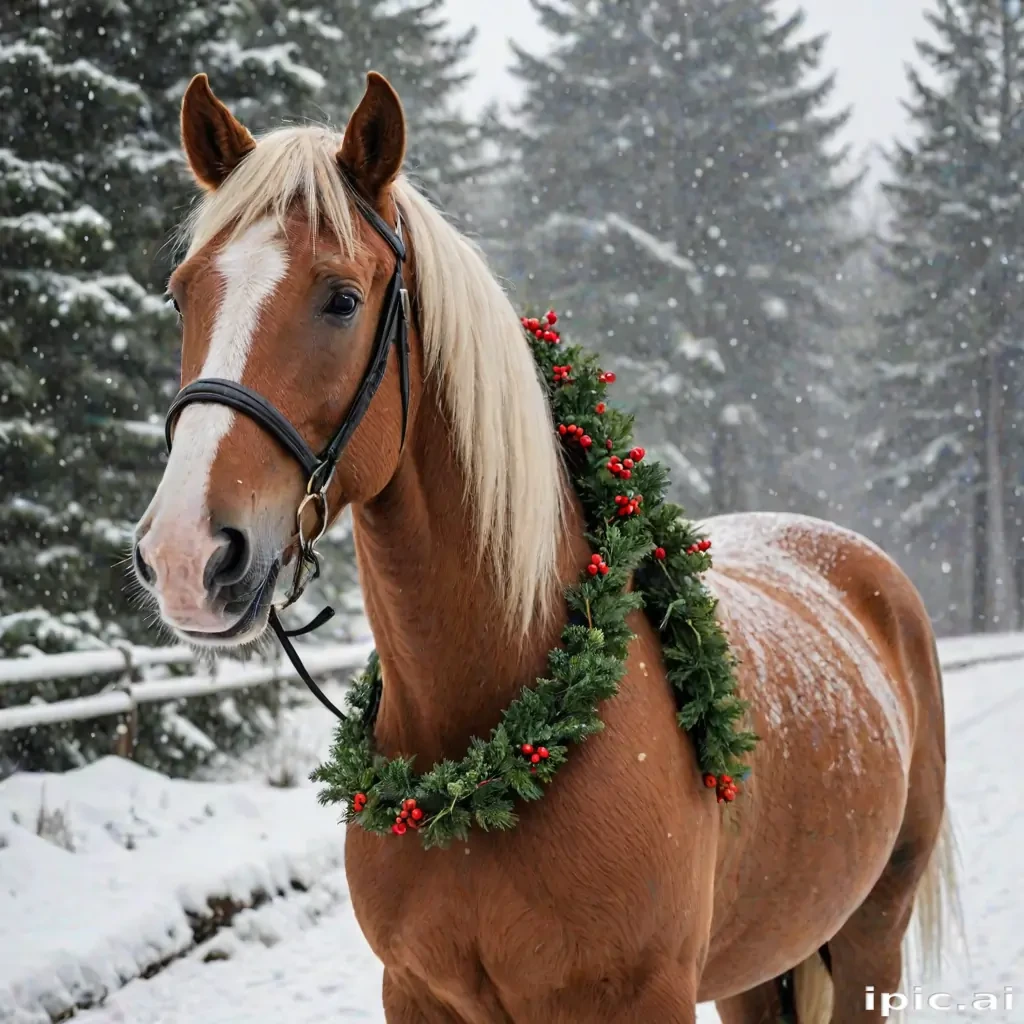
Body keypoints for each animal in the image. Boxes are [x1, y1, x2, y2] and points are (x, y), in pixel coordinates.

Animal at [133, 71, 957, 1023]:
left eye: (340, 298)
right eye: (182, 295)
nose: (186, 554)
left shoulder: (643, 996)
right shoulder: (416, 993)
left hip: (871, 940)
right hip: (759, 969)